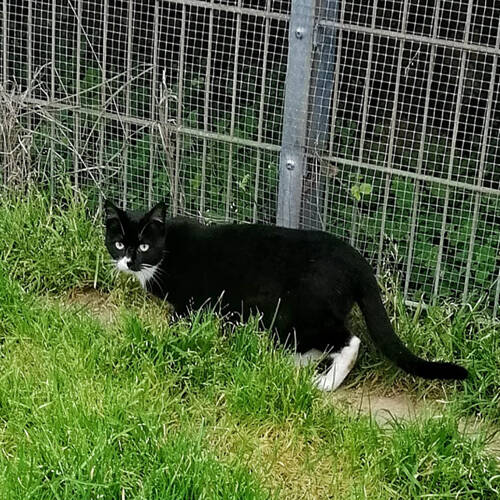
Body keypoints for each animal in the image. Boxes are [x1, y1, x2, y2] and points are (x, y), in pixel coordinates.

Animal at [104, 200, 468, 391]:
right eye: (119, 243)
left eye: (144, 246)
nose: (129, 261)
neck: (166, 252)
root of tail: (357, 260)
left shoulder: (191, 302)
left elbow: (180, 322)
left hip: (302, 307)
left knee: (348, 340)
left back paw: (326, 382)